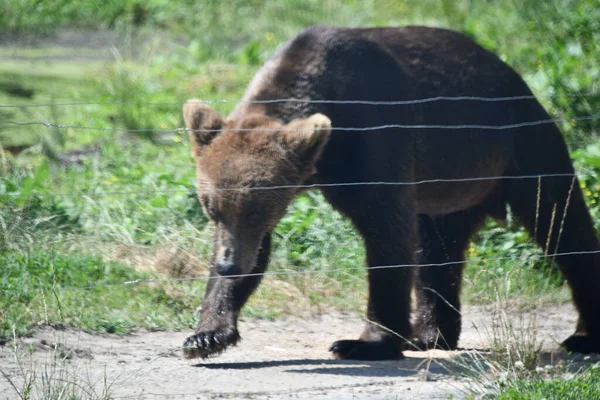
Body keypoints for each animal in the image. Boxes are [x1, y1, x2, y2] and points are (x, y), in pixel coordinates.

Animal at [180, 25, 600, 362]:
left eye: (255, 210)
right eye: (212, 209)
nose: (228, 264)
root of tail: (515, 76)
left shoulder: (374, 137)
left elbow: (385, 232)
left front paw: (363, 342)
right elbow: (258, 251)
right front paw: (205, 335)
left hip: (520, 146)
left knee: (560, 221)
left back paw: (584, 335)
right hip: (449, 186)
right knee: (438, 250)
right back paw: (429, 335)